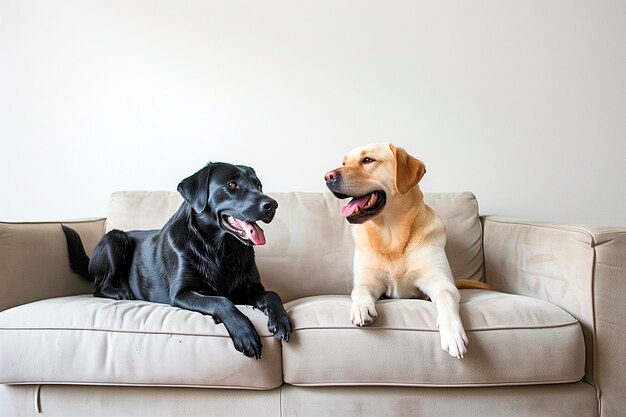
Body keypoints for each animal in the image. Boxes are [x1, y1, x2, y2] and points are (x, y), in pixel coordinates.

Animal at [61, 162, 290, 358]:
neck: (220, 250)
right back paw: (120, 292)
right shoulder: (182, 293)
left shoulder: (249, 289)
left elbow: (272, 294)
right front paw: (244, 333)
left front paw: (281, 320)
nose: (273, 204)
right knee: (98, 287)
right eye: (231, 185)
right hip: (114, 238)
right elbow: (221, 300)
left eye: (258, 185)